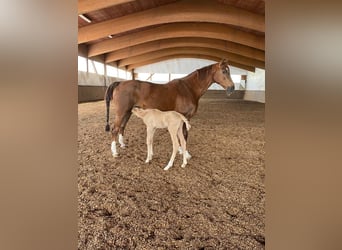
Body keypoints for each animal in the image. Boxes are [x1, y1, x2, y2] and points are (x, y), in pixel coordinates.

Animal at [106, 58, 235, 157]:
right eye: (224, 71)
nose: (232, 88)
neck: (188, 89)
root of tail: (119, 83)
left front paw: (180, 150)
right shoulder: (185, 117)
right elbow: (184, 135)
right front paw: (185, 153)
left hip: (128, 112)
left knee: (122, 127)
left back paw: (122, 145)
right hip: (121, 112)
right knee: (114, 129)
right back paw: (114, 152)